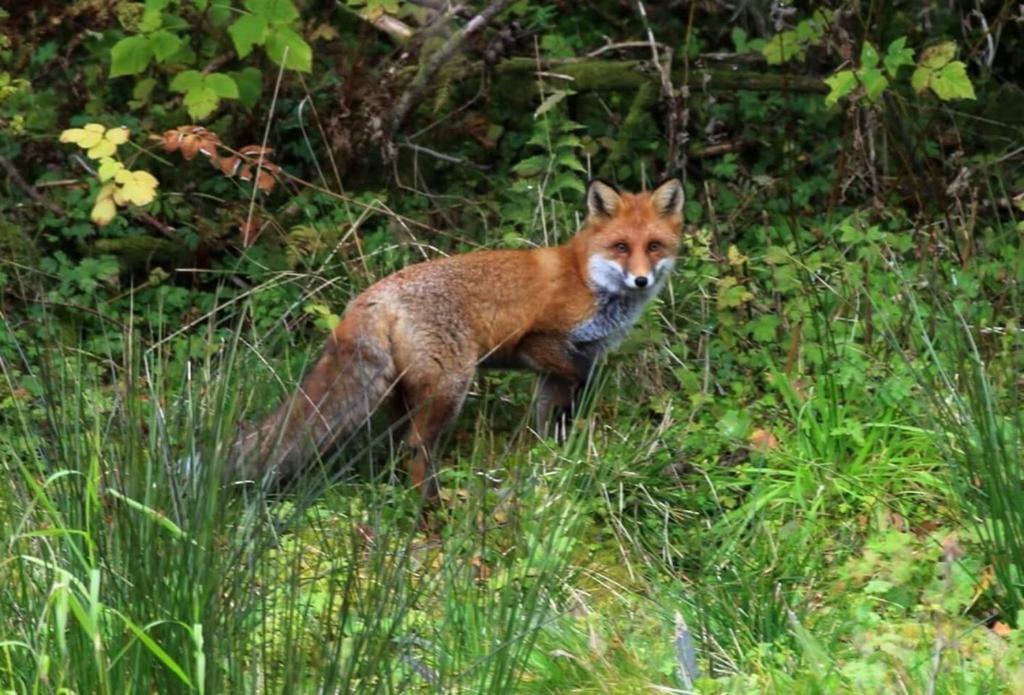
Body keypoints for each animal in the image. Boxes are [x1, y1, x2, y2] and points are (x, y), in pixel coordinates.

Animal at [228, 179, 684, 503]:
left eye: (654, 246)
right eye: (621, 247)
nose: (641, 280)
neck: (588, 279)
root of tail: (371, 295)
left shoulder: (551, 370)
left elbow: (547, 420)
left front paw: (550, 459)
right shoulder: (538, 340)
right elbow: (581, 374)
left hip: (403, 392)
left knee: (397, 442)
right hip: (451, 385)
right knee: (416, 446)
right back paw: (430, 511)